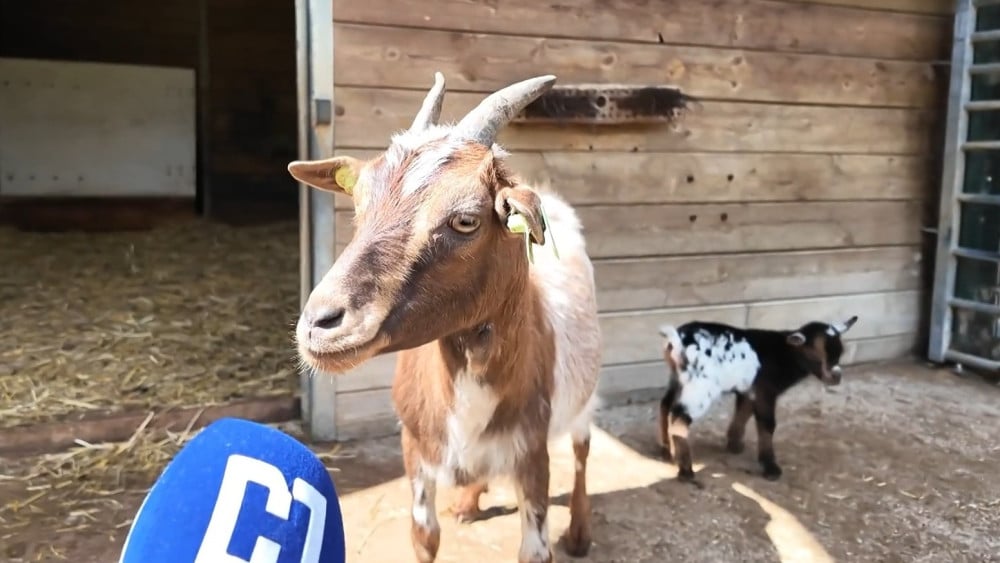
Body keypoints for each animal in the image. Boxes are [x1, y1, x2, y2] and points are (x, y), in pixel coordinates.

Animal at [286, 73, 602, 563]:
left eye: (467, 220)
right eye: (358, 205)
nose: (321, 324)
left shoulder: (531, 453)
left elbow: (535, 548)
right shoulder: (415, 448)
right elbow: (425, 535)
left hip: (585, 394)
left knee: (584, 449)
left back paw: (580, 532)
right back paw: (469, 502)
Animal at [657, 316, 859, 485]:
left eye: (840, 353)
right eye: (815, 354)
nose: (836, 377)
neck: (785, 353)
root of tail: (677, 340)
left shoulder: (749, 389)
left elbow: (744, 412)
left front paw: (734, 445)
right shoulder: (765, 391)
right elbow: (767, 424)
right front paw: (771, 467)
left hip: (678, 378)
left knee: (666, 405)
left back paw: (668, 452)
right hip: (700, 386)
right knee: (679, 419)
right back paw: (686, 471)